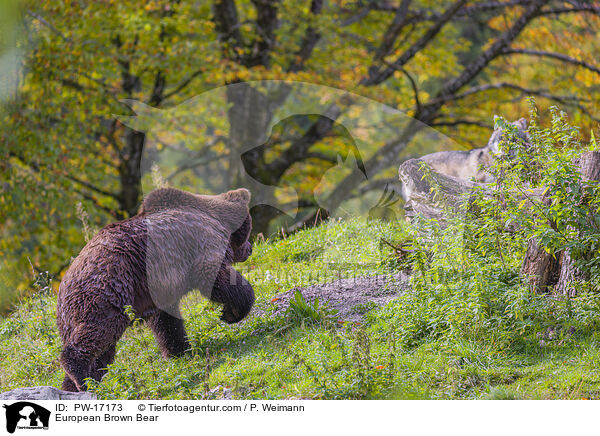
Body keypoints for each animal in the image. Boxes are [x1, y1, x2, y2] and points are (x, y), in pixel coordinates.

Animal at [55, 187, 254, 392]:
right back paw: (79, 376)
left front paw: (179, 351)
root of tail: (63, 289)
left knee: (103, 352)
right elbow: (216, 278)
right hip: (107, 291)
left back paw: (76, 385)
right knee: (99, 331)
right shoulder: (200, 242)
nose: (250, 248)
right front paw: (232, 312)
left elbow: (167, 322)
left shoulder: (158, 288)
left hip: (73, 317)